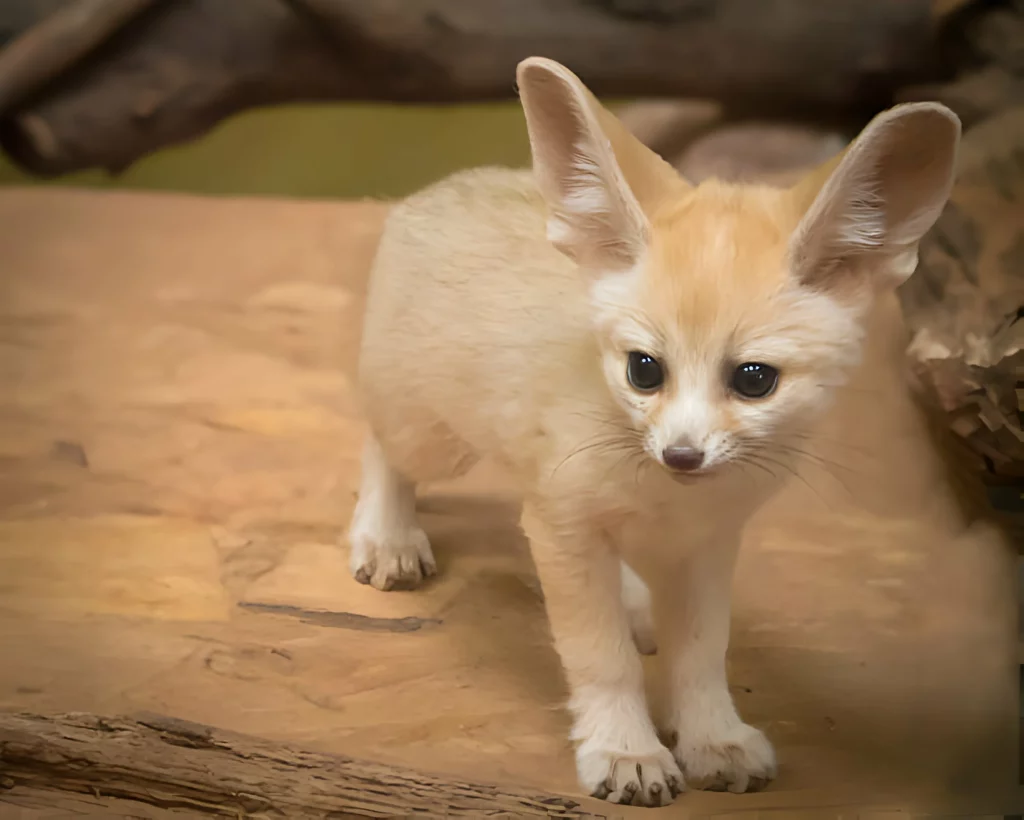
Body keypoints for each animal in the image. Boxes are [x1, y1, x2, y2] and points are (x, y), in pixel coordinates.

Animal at [350, 59, 958, 806]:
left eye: (754, 380)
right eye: (644, 370)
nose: (682, 454)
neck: (669, 498)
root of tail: (442, 186)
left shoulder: (708, 543)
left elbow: (701, 655)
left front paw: (713, 737)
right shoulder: (562, 524)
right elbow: (600, 655)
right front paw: (625, 749)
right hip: (429, 434)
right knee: (379, 441)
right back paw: (387, 533)